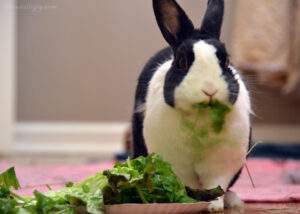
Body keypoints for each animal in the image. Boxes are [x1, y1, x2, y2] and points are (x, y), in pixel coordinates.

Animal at [131, 0, 251, 211]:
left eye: (226, 60)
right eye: (182, 62)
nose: (209, 89)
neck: (201, 118)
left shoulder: (221, 165)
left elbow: (216, 184)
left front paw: (214, 206)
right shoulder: (176, 164)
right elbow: (187, 184)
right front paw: (188, 201)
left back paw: (234, 201)